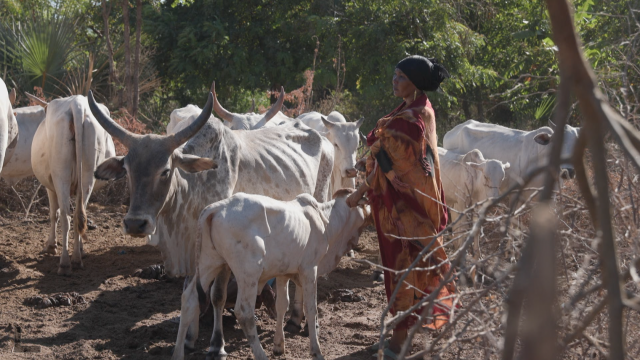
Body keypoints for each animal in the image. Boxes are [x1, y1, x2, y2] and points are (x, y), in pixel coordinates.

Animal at [171, 190, 370, 358]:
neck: (325, 221)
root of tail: (216, 208)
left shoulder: (283, 273)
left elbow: (282, 305)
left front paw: (278, 346)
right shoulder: (309, 270)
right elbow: (311, 308)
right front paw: (316, 351)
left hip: (210, 263)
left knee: (189, 300)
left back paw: (178, 354)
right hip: (248, 273)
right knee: (244, 312)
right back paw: (260, 355)